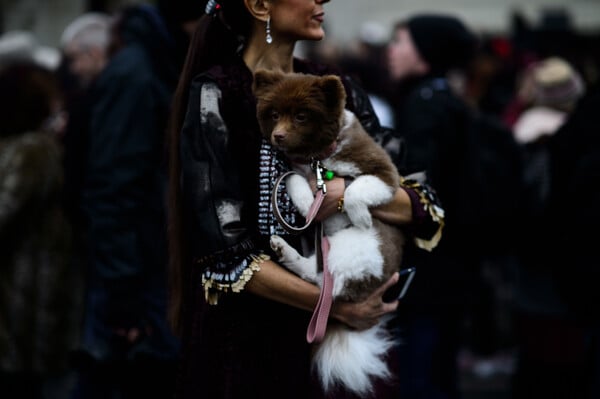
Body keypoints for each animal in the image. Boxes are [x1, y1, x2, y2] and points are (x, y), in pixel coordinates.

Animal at [251, 69, 406, 396]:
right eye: (274, 114)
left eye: (301, 116)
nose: (278, 136)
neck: (319, 158)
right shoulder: (296, 169)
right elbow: (297, 184)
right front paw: (305, 197)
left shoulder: (385, 172)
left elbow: (356, 188)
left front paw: (360, 214)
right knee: (321, 278)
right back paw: (283, 249)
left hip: (359, 249)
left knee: (326, 281)